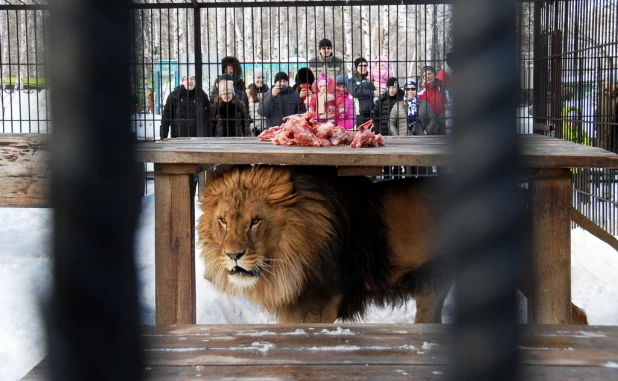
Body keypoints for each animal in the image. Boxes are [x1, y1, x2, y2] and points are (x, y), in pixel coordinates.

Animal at [197, 165, 588, 322]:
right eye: (223, 221)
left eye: (256, 221)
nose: (233, 255)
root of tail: (524, 195)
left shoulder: (320, 304)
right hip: (433, 283)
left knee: (575, 315)